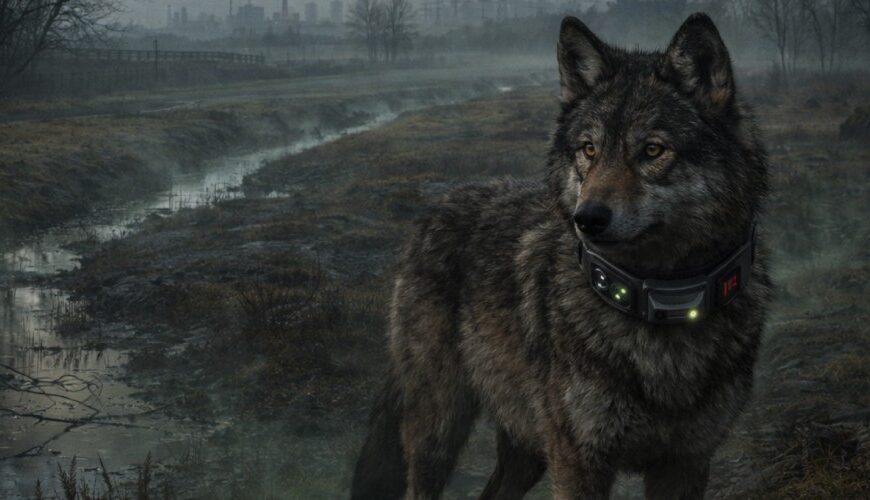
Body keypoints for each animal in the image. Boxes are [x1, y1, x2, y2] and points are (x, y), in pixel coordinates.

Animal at [352, 13, 771, 500]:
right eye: (589, 149)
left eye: (652, 150)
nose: (586, 218)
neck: (662, 302)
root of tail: (433, 209)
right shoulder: (578, 460)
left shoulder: (687, 462)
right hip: (440, 426)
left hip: (526, 446)